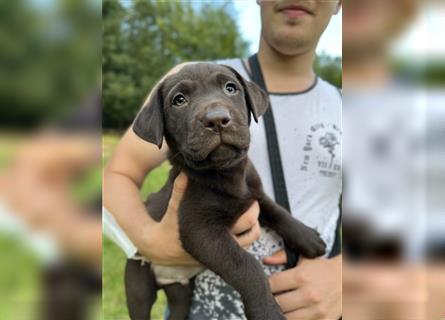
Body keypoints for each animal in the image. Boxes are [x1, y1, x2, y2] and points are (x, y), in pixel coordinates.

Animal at [125, 62, 326, 320]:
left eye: (230, 88)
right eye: (179, 100)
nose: (217, 119)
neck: (229, 174)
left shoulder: (255, 196)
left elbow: (278, 211)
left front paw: (307, 237)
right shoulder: (200, 231)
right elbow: (246, 265)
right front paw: (266, 310)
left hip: (182, 294)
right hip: (137, 287)